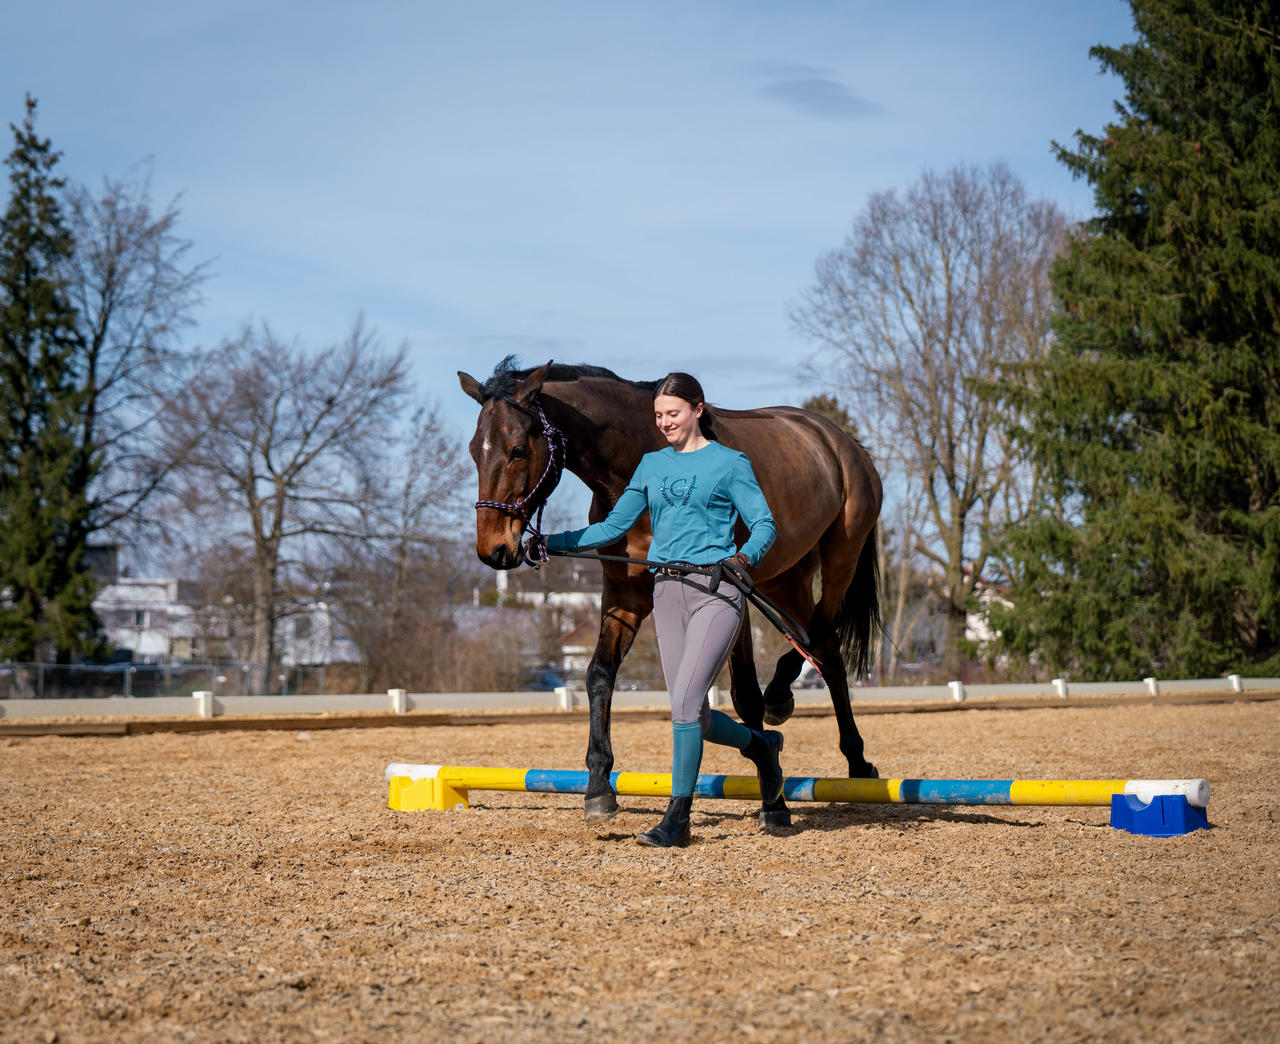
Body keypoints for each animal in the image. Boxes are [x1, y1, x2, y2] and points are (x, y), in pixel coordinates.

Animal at [460, 363, 880, 829]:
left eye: (518, 449)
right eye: (474, 451)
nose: (494, 550)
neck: (638, 461)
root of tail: (842, 442)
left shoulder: (730, 588)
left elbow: (745, 696)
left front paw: (774, 801)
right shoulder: (625, 595)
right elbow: (599, 675)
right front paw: (599, 786)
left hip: (838, 559)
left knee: (820, 636)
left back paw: (802, 717)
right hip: (784, 579)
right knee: (825, 650)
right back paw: (849, 755)